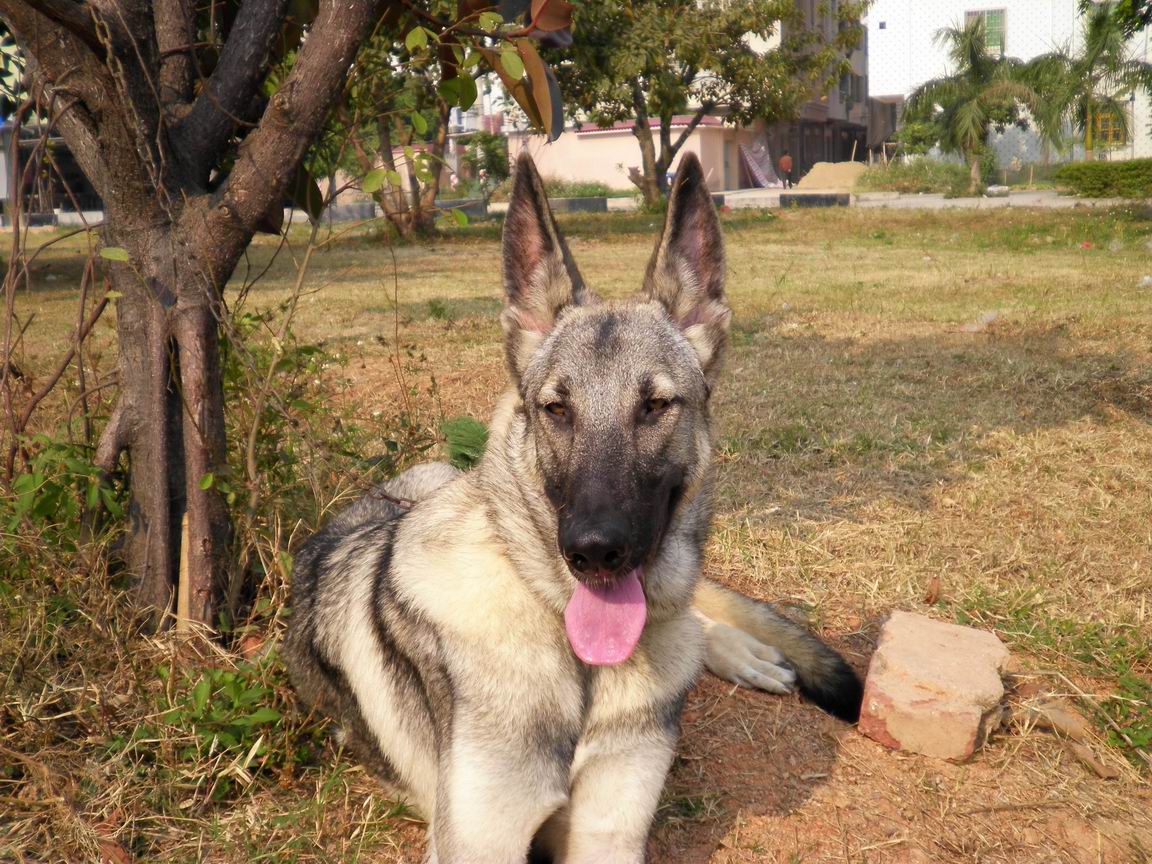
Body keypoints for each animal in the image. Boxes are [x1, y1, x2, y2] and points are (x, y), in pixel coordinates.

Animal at [283, 152, 861, 861]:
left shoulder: (609, 834)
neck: (580, 665)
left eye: (655, 406)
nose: (594, 551)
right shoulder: (479, 844)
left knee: (698, 622)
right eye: (556, 410)